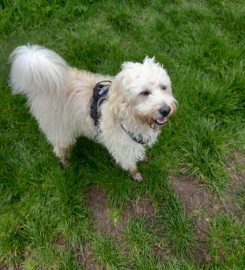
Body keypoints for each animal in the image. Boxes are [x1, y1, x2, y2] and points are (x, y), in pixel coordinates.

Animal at [9, 45, 176, 181]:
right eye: (144, 92)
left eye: (163, 87)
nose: (166, 110)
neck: (130, 113)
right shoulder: (121, 146)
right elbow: (129, 162)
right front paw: (135, 173)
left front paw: (142, 157)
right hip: (60, 129)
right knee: (59, 148)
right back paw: (66, 163)